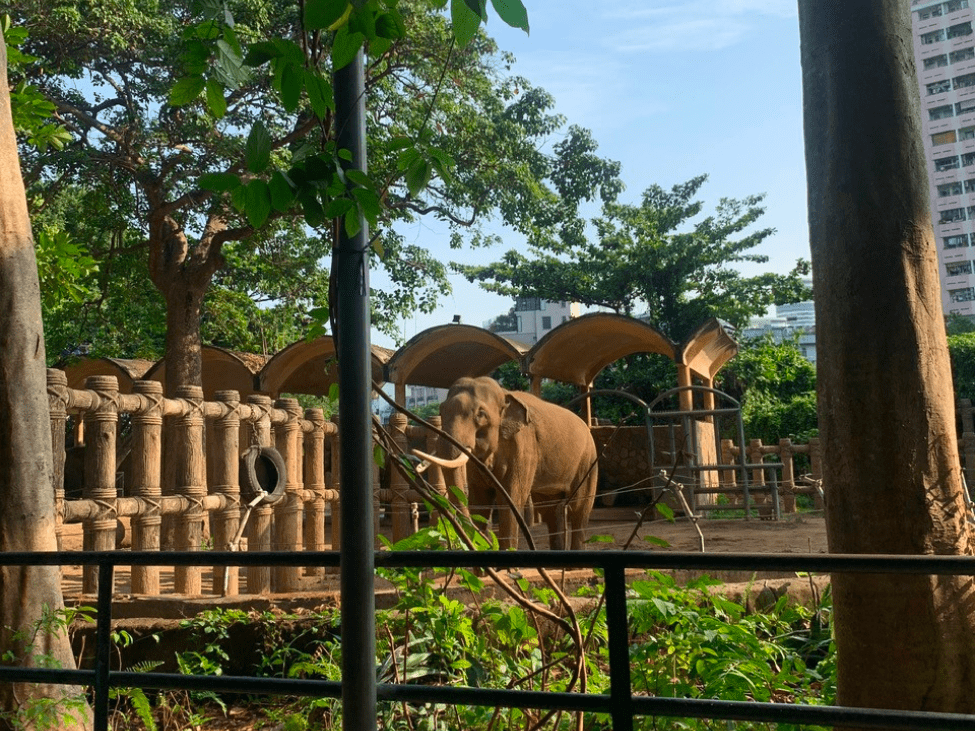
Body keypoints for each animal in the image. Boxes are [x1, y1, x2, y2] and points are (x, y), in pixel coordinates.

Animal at [410, 378, 600, 548]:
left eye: (480, 414)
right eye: (441, 410)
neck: (504, 392)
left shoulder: (524, 446)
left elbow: (510, 500)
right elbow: (480, 500)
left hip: (588, 461)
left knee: (579, 509)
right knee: (551, 510)